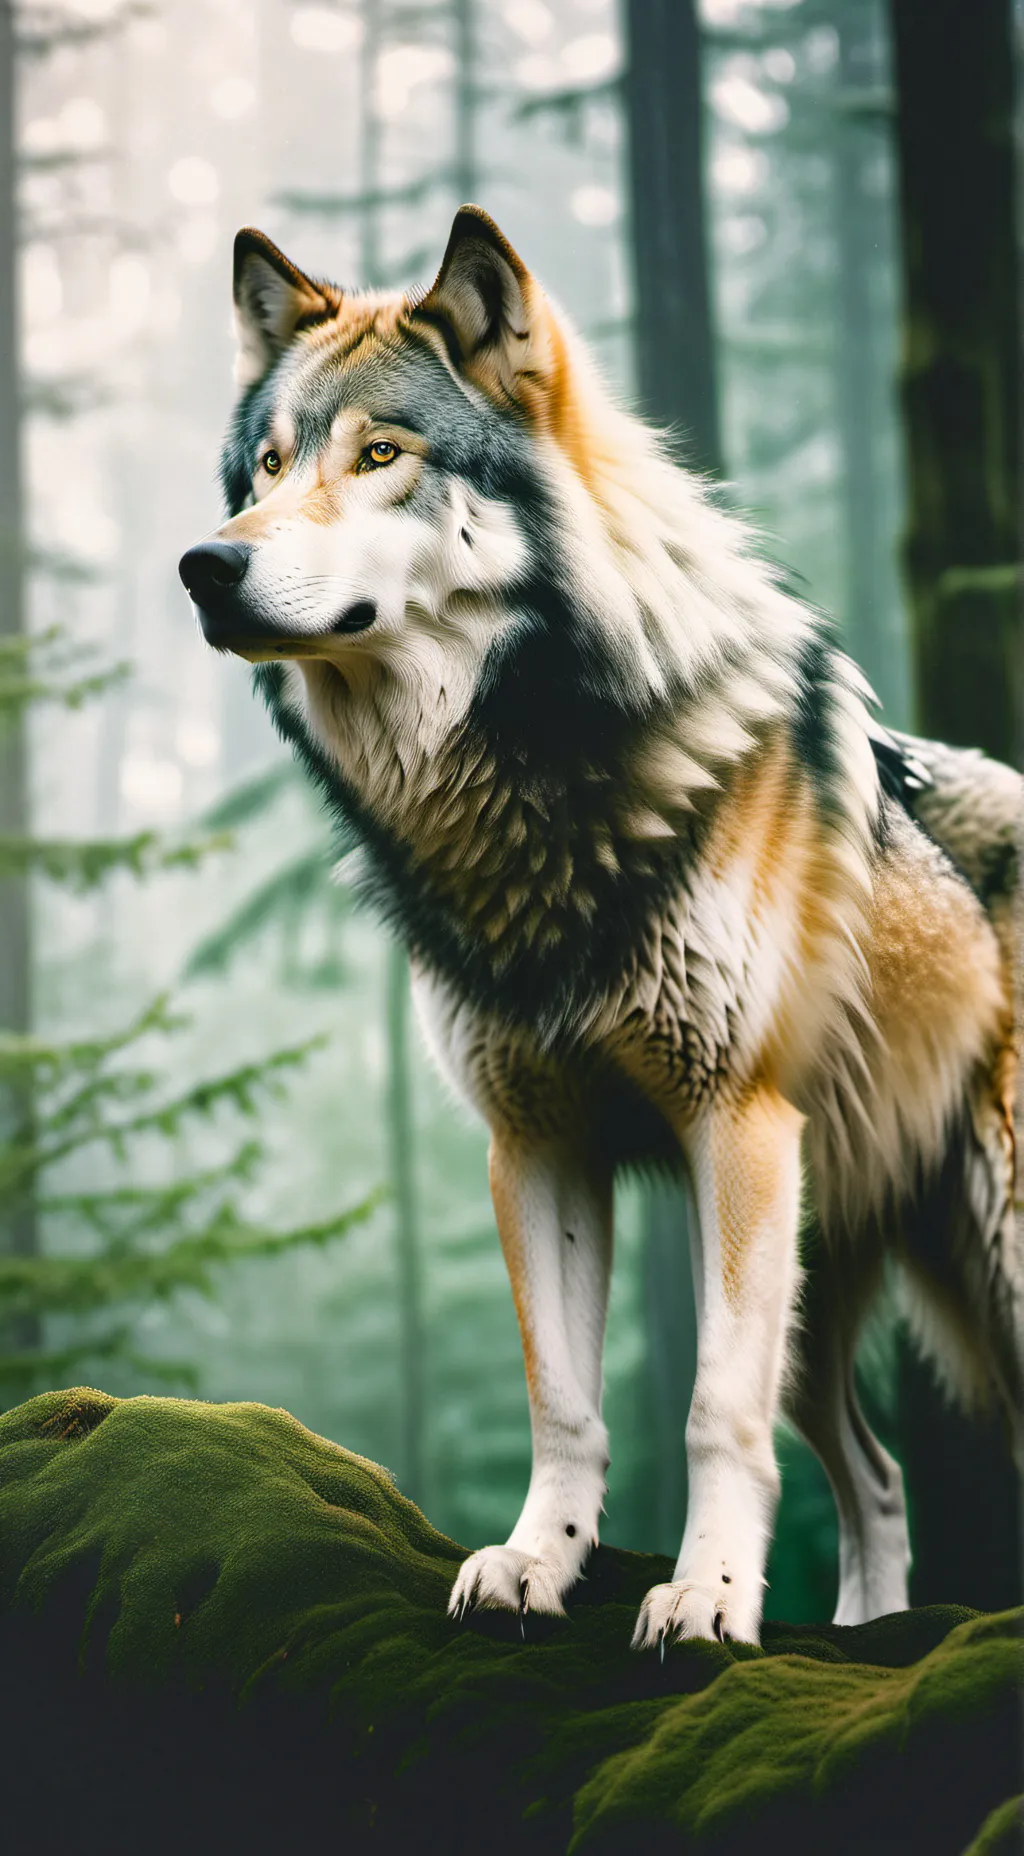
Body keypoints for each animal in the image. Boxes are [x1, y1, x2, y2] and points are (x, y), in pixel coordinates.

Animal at [180, 207, 1022, 1647]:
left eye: (382, 455)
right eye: (268, 467)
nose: (206, 564)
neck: (531, 788)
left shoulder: (735, 1127)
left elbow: (711, 1411)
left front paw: (709, 1599)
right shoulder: (537, 1143)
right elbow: (563, 1401)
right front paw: (539, 1562)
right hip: (826, 1273)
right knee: (877, 1474)